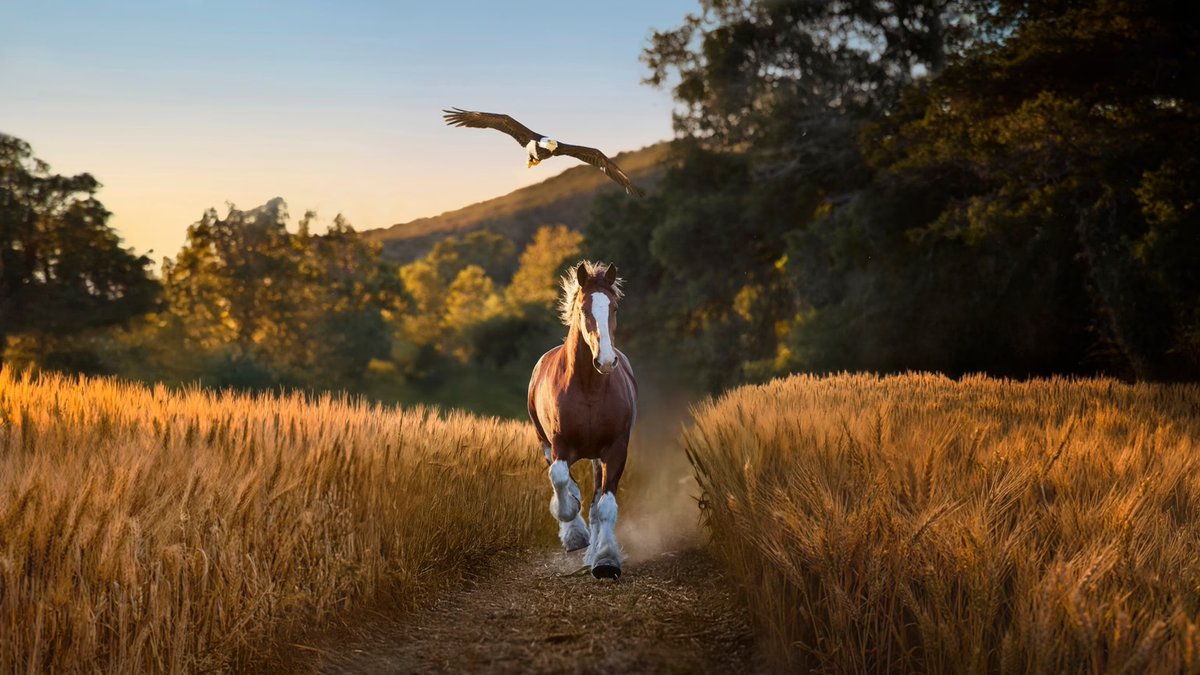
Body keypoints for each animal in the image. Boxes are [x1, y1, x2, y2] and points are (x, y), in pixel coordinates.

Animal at [528, 261, 637, 580]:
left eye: (614, 307)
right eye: (583, 309)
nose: (606, 361)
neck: (589, 386)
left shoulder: (616, 449)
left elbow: (605, 506)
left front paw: (606, 560)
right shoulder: (559, 445)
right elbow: (560, 479)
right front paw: (573, 531)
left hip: (598, 458)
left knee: (597, 500)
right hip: (545, 443)